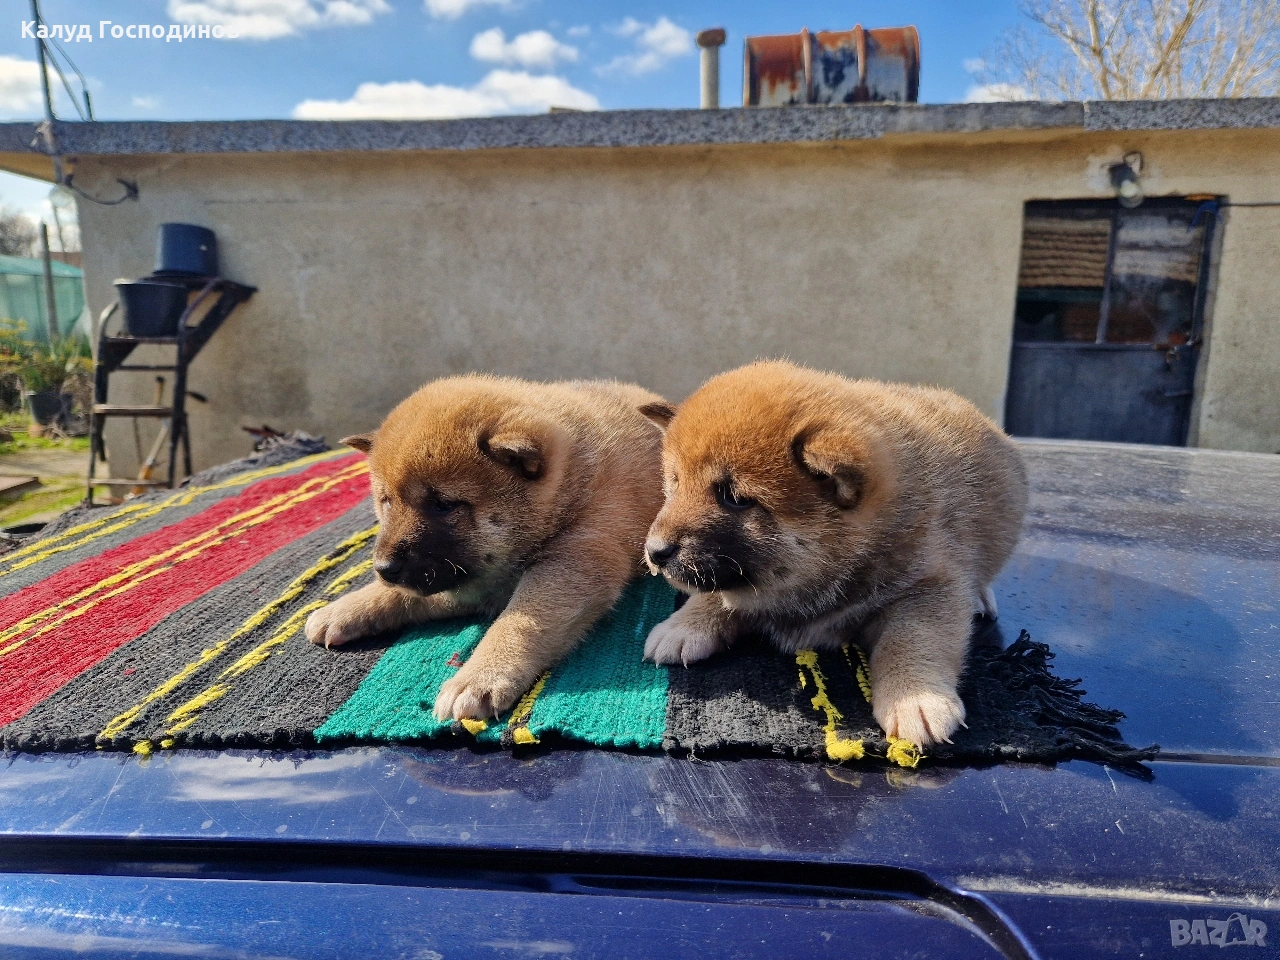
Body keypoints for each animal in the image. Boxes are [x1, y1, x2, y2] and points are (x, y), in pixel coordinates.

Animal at [305, 374, 671, 722]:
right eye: (386, 502)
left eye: (443, 505)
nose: (383, 568)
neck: (570, 484)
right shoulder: (461, 580)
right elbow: (401, 595)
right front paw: (347, 607)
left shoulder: (574, 563)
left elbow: (520, 621)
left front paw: (479, 677)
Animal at [641, 360, 1028, 747]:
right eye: (675, 482)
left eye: (734, 498)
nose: (655, 551)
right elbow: (718, 593)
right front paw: (684, 625)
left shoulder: (931, 582)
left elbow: (914, 637)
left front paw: (915, 698)